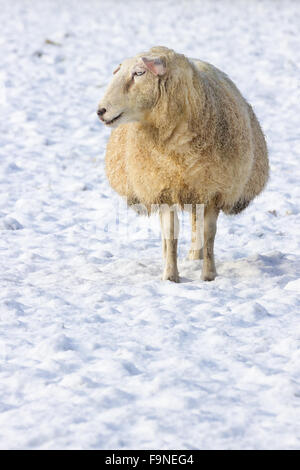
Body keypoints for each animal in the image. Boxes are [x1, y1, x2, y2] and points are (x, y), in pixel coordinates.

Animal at [97, 46, 268, 282]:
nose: (101, 111)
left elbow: (208, 234)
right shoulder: (163, 190)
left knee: (197, 227)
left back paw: (195, 257)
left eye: (139, 73)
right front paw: (170, 276)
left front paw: (208, 275)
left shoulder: (213, 191)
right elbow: (170, 235)